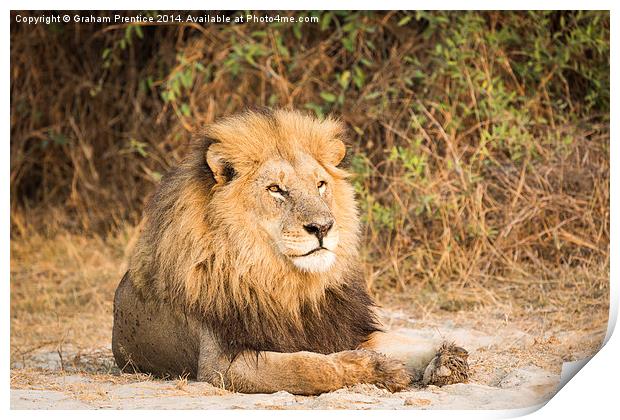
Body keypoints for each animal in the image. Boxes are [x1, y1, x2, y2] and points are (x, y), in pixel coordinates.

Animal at [112, 107, 470, 394]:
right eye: (276, 189)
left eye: (320, 185)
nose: (323, 227)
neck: (286, 284)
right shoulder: (222, 364)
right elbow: (310, 366)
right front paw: (379, 370)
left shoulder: (341, 327)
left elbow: (401, 342)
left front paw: (447, 358)